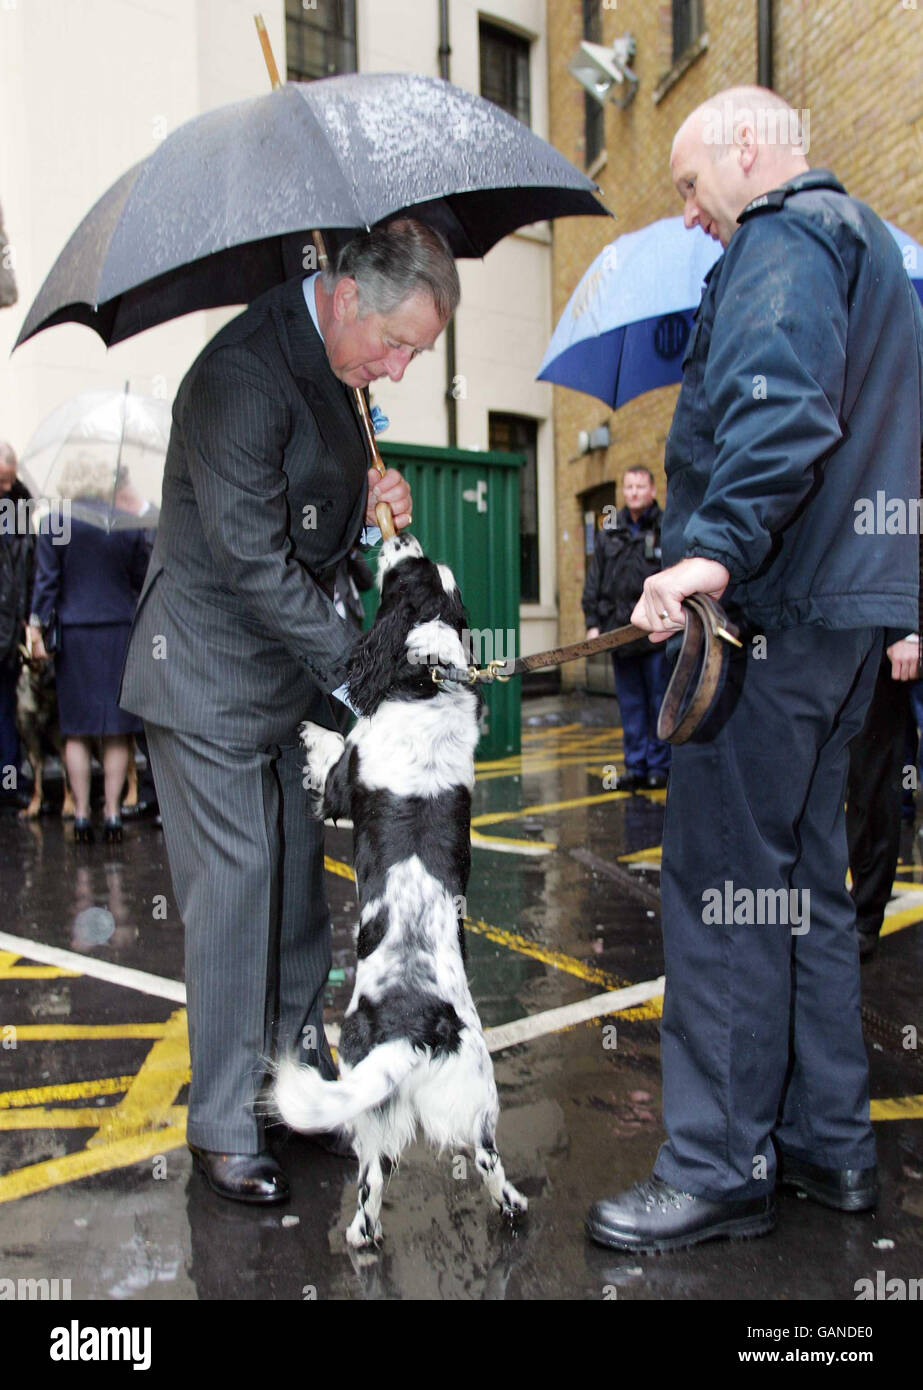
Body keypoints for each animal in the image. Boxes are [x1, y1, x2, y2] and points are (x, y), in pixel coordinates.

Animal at [272, 530, 525, 1251]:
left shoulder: (342, 780)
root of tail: (415, 1033)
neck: (426, 675)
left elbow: (330, 749)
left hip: (369, 1096)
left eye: (405, 569)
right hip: (474, 1096)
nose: (403, 531)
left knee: (367, 1186)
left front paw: (308, 728)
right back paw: (513, 1208)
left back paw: (359, 1237)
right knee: (488, 1160)